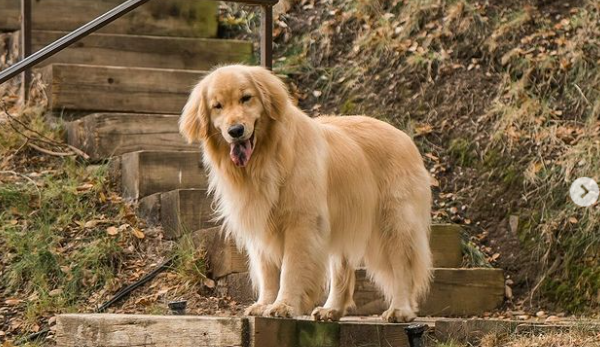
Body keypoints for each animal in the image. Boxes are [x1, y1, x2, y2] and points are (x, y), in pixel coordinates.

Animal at [178, 64, 432, 324]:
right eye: (217, 106)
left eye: (246, 98)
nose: (236, 130)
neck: (266, 158)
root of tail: (405, 137)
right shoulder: (260, 224)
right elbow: (267, 271)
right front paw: (264, 303)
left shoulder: (301, 223)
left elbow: (290, 269)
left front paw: (284, 305)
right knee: (341, 269)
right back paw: (332, 309)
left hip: (393, 224)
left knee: (402, 267)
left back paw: (400, 310)